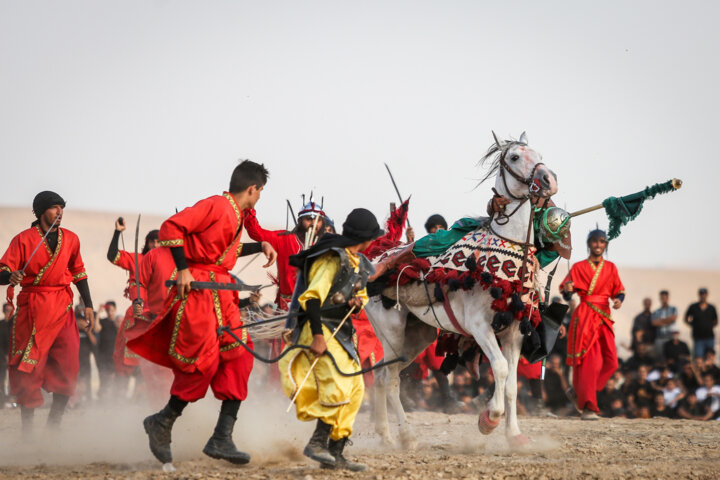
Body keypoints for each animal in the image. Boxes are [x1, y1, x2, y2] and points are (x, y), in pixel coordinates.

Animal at [366, 132, 556, 450]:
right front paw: (489, 420)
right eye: (515, 157)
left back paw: (386, 435)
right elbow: (501, 369)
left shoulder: (514, 331)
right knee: (390, 379)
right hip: (391, 330)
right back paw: (407, 436)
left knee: (381, 374)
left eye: (540, 154)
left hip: (417, 335)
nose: (549, 179)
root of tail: (374, 260)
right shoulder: (479, 327)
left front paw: (514, 435)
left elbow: (512, 383)